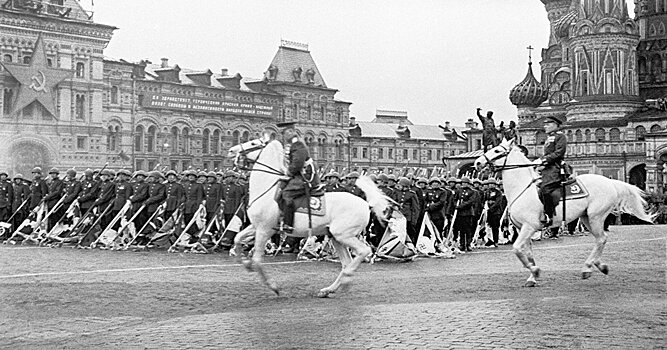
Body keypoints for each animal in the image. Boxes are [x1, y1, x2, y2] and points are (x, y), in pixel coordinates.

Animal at [227, 135, 392, 296]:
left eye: (253, 143)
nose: (231, 151)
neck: (267, 190)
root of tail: (365, 203)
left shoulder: (264, 230)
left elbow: (256, 260)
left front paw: (272, 286)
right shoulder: (256, 227)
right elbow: (237, 239)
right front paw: (245, 263)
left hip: (344, 235)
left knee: (364, 252)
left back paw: (347, 278)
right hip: (336, 237)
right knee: (346, 262)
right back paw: (329, 289)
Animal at [474, 138, 656, 286]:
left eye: (497, 151)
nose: (477, 163)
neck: (522, 189)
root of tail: (610, 182)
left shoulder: (529, 226)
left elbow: (517, 249)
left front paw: (535, 271)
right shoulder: (522, 228)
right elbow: (527, 252)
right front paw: (533, 276)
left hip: (596, 217)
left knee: (601, 239)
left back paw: (588, 268)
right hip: (586, 219)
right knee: (600, 239)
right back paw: (599, 266)